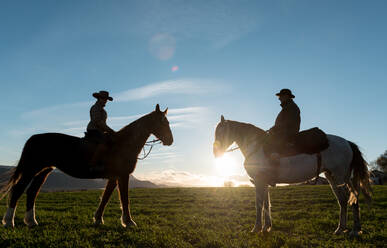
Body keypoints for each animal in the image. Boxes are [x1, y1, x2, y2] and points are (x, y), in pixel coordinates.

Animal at [0, 103, 173, 228]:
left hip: (43, 171)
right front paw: (129, 222)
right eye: (162, 123)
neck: (124, 144)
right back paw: (9, 221)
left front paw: (98, 219)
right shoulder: (123, 176)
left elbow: (106, 197)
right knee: (18, 190)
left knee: (32, 192)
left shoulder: (114, 177)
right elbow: (125, 199)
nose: (170, 140)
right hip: (31, 169)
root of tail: (34, 138)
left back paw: (31, 221)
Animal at [214, 116, 374, 236]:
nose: (216, 153)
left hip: (339, 177)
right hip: (334, 178)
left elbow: (259, 204)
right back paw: (342, 229)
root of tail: (347, 143)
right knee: (345, 200)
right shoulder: (263, 182)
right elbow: (266, 203)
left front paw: (256, 228)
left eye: (221, 132)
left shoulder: (259, 182)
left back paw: (354, 230)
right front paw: (267, 227)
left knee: (350, 198)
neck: (256, 147)